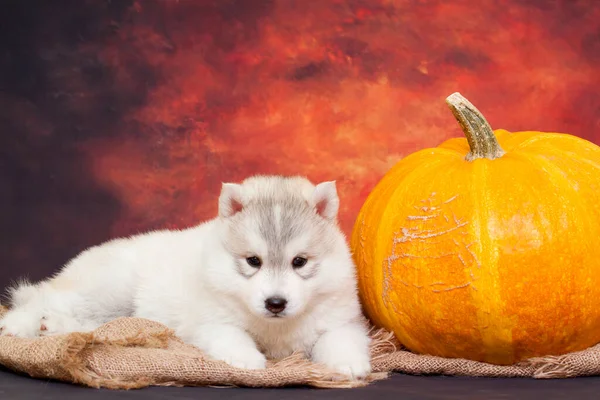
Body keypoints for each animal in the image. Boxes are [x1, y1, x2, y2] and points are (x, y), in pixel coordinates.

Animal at [0, 174, 372, 378]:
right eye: (253, 261)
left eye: (299, 261)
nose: (276, 303)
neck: (275, 329)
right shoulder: (209, 322)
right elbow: (232, 336)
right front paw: (247, 359)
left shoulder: (343, 319)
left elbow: (341, 338)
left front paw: (349, 364)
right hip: (110, 287)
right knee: (44, 298)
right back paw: (21, 325)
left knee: (96, 325)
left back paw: (53, 327)